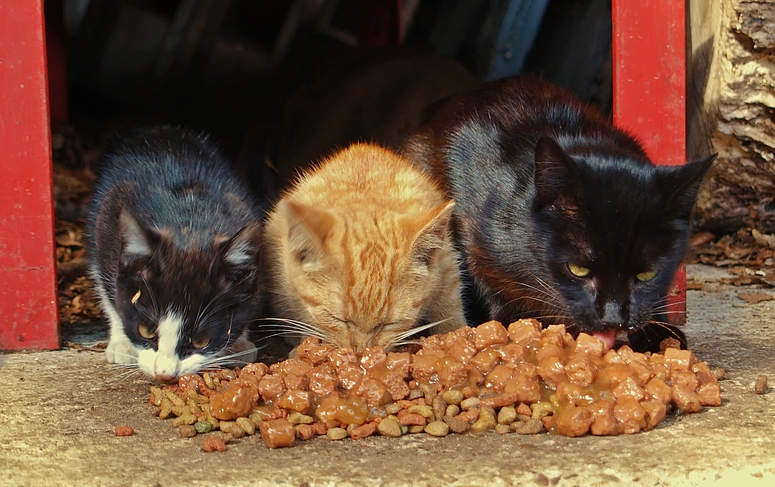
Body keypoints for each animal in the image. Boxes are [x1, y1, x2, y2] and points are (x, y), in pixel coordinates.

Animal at [88, 126, 264, 382]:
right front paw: (123, 342)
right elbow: (107, 284)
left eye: (201, 341)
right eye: (145, 330)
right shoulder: (106, 218)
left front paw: (239, 342)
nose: (165, 373)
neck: (189, 223)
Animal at [260, 143, 466, 352]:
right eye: (337, 319)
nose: (361, 352)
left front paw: (456, 334)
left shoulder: (446, 262)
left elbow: (450, 304)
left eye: (389, 324)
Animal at [404, 75, 720, 350]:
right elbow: (492, 283)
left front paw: (659, 331)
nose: (613, 319)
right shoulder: (477, 237)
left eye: (647, 274)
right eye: (578, 270)